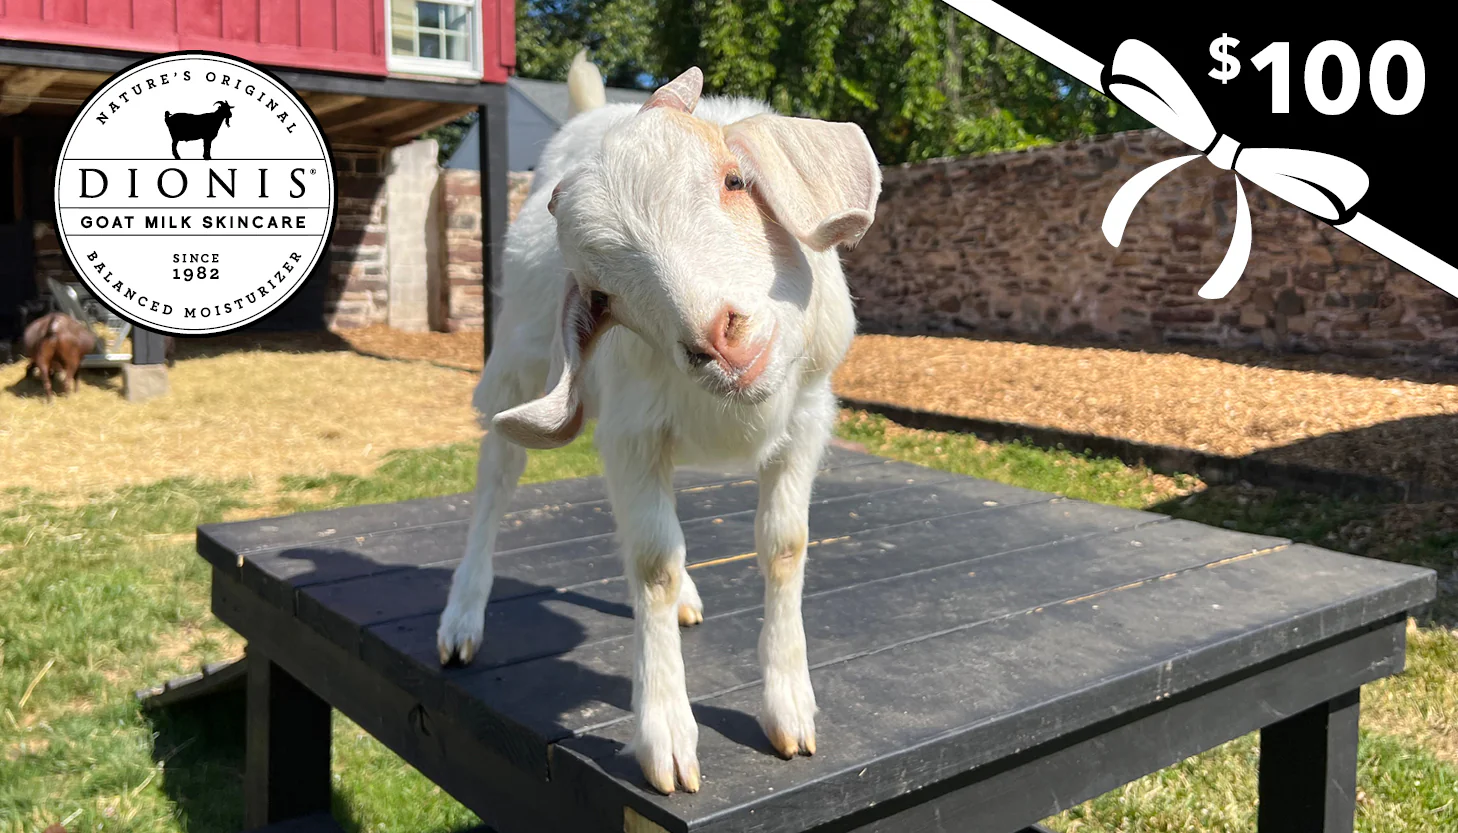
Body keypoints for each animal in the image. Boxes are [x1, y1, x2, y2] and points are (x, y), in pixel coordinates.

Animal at [435, 52, 881, 795]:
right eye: (602, 296)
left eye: (735, 180)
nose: (718, 338)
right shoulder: (630, 434)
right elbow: (652, 566)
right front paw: (666, 737)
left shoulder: (808, 416)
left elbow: (783, 545)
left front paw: (790, 708)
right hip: (518, 365)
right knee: (497, 475)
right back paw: (462, 615)